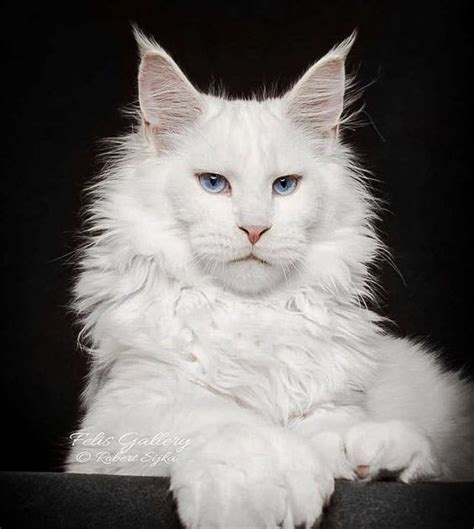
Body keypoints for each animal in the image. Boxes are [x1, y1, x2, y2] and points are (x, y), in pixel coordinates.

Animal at [66, 29, 474, 528]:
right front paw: (257, 489)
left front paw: (375, 455)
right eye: (213, 184)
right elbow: (231, 425)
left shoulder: (330, 401)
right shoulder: (123, 414)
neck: (250, 315)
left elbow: (333, 428)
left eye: (285, 186)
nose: (255, 229)